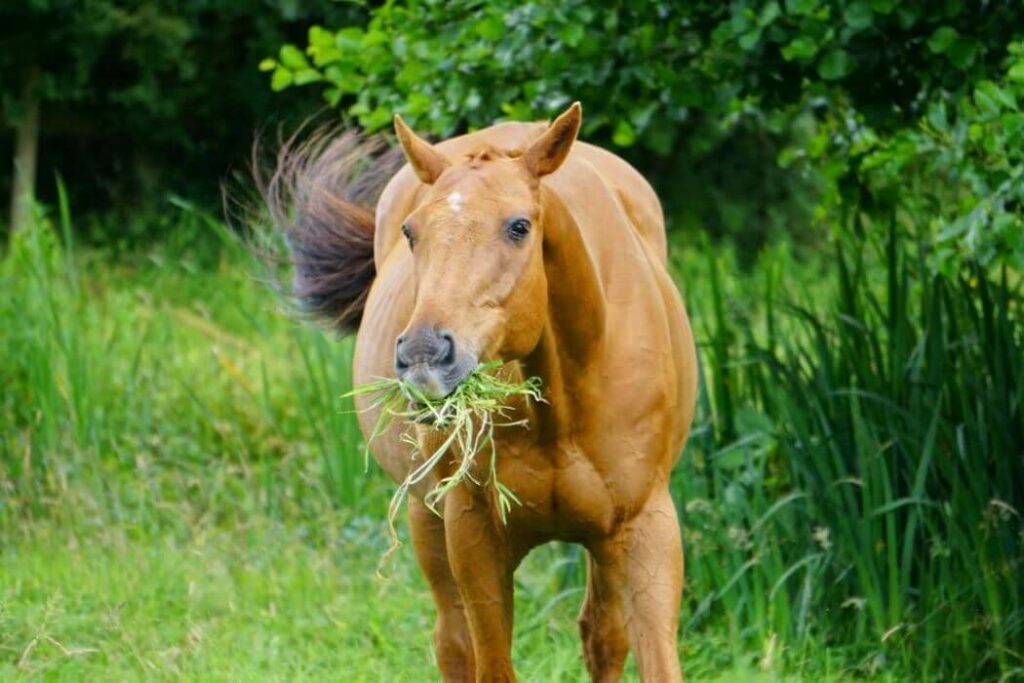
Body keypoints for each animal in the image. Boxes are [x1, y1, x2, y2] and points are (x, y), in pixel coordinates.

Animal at [266, 102, 696, 683]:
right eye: (412, 232)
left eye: (519, 226)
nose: (424, 354)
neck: (563, 405)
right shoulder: (475, 535)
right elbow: (489, 662)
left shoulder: (645, 528)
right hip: (427, 518)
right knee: (452, 642)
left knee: (602, 637)